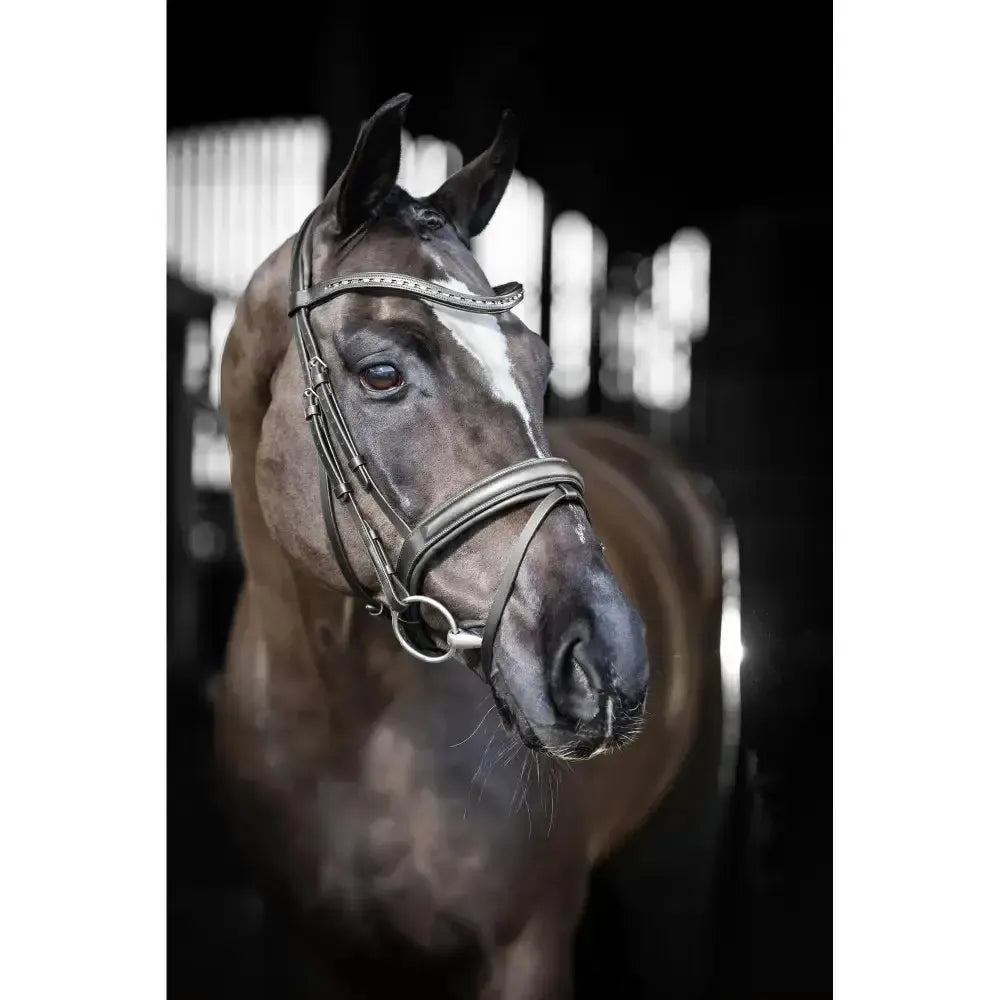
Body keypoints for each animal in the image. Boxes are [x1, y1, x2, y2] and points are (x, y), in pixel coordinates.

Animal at [214, 92, 733, 999]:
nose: (608, 660)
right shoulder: (316, 952)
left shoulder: (527, 949)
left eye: (540, 363)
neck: (341, 720)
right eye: (381, 372)